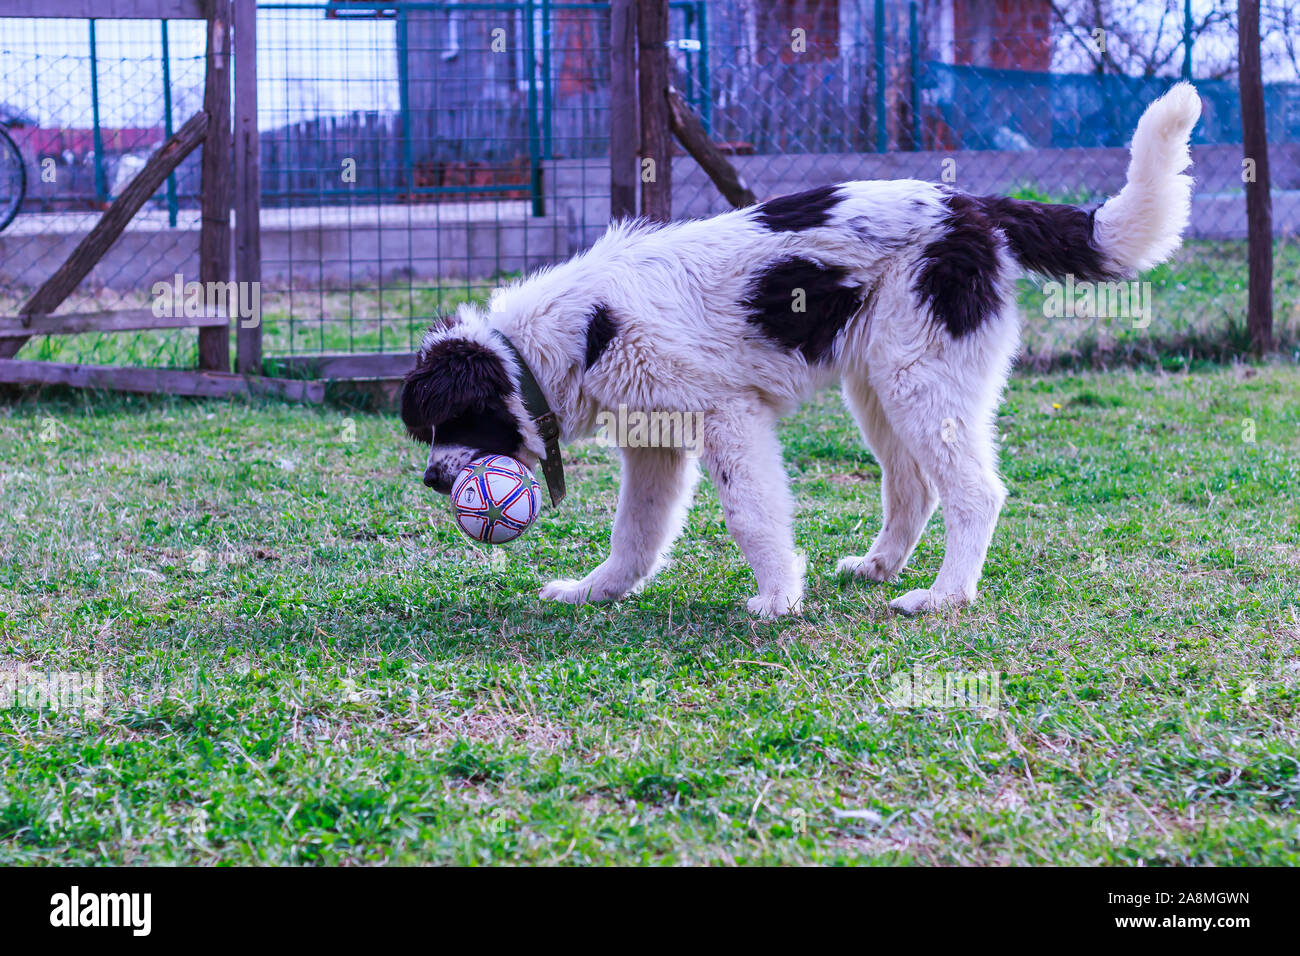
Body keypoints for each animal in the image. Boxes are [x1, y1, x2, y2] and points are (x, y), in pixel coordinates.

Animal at [397, 82, 1196, 621]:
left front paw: (778, 597)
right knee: (914, 488)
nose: (435, 482)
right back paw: (879, 566)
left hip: (921, 382)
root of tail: (971, 208)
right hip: (879, 387)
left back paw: (943, 595)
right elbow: (637, 535)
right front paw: (596, 591)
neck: (576, 332)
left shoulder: (728, 419)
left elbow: (751, 515)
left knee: (975, 492)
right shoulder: (657, 446)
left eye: (454, 420)